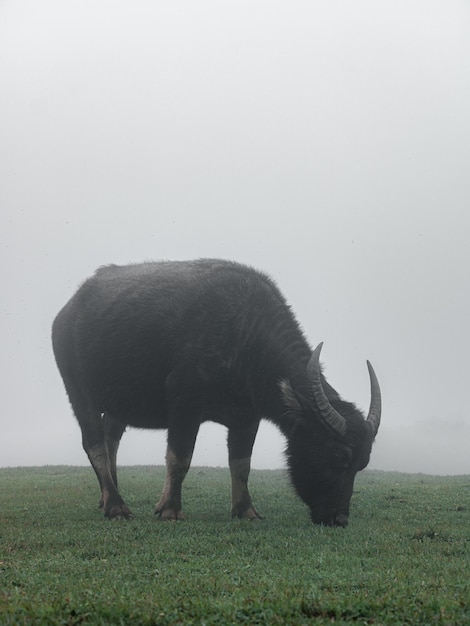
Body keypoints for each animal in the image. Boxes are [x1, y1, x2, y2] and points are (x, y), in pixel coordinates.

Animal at [52, 256, 382, 524]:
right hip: (78, 392)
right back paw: (116, 506)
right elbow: (179, 458)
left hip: (119, 403)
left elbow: (241, 465)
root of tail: (66, 312)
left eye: (362, 464)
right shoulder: (184, 404)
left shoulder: (247, 418)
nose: (339, 518)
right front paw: (170, 509)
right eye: (337, 455)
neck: (246, 339)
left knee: (112, 439)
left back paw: (109, 496)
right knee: (95, 444)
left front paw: (245, 509)